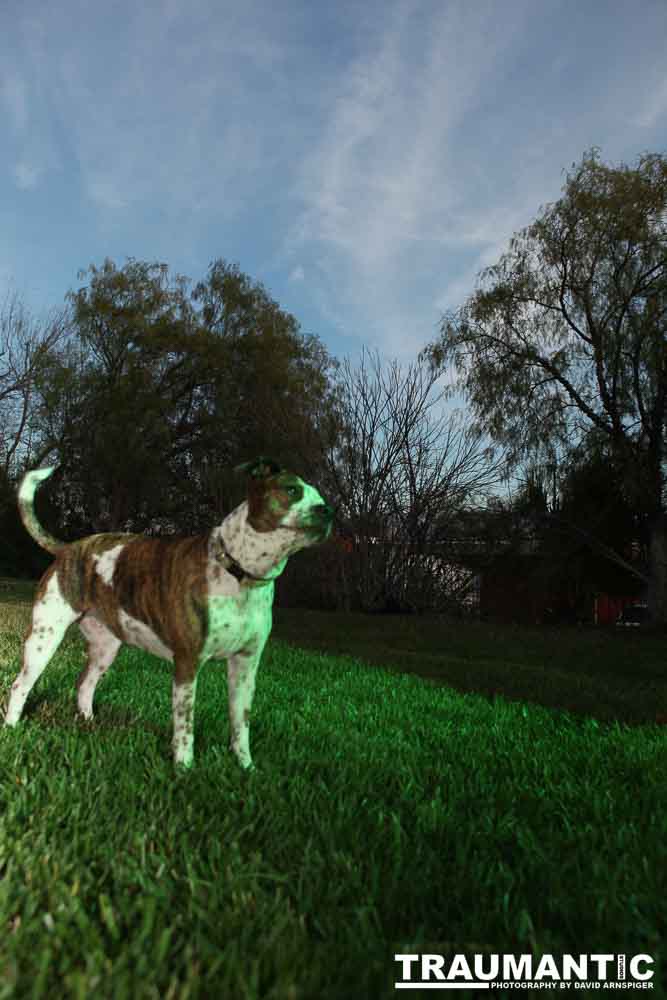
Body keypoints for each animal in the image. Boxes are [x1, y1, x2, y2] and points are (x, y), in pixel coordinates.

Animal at [2, 458, 332, 768]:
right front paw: (184, 768)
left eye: (321, 497)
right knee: (20, 685)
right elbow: (185, 726)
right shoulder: (187, 664)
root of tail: (68, 548)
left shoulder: (245, 667)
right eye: (292, 490)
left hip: (105, 648)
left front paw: (245, 766)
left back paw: (88, 722)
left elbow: (241, 725)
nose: (327, 511)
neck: (240, 574)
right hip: (44, 639)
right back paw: (12, 726)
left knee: (84, 684)